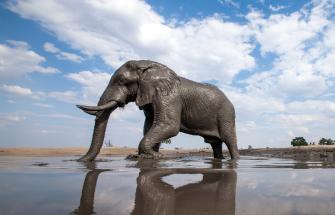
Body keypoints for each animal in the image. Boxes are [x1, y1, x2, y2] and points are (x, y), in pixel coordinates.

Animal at [77, 59, 239, 160]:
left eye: (121, 80)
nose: (80, 160)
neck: (149, 67)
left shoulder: (169, 96)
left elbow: (169, 125)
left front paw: (152, 156)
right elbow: (149, 125)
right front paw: (147, 156)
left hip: (226, 114)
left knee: (228, 139)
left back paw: (234, 160)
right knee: (215, 143)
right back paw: (219, 159)